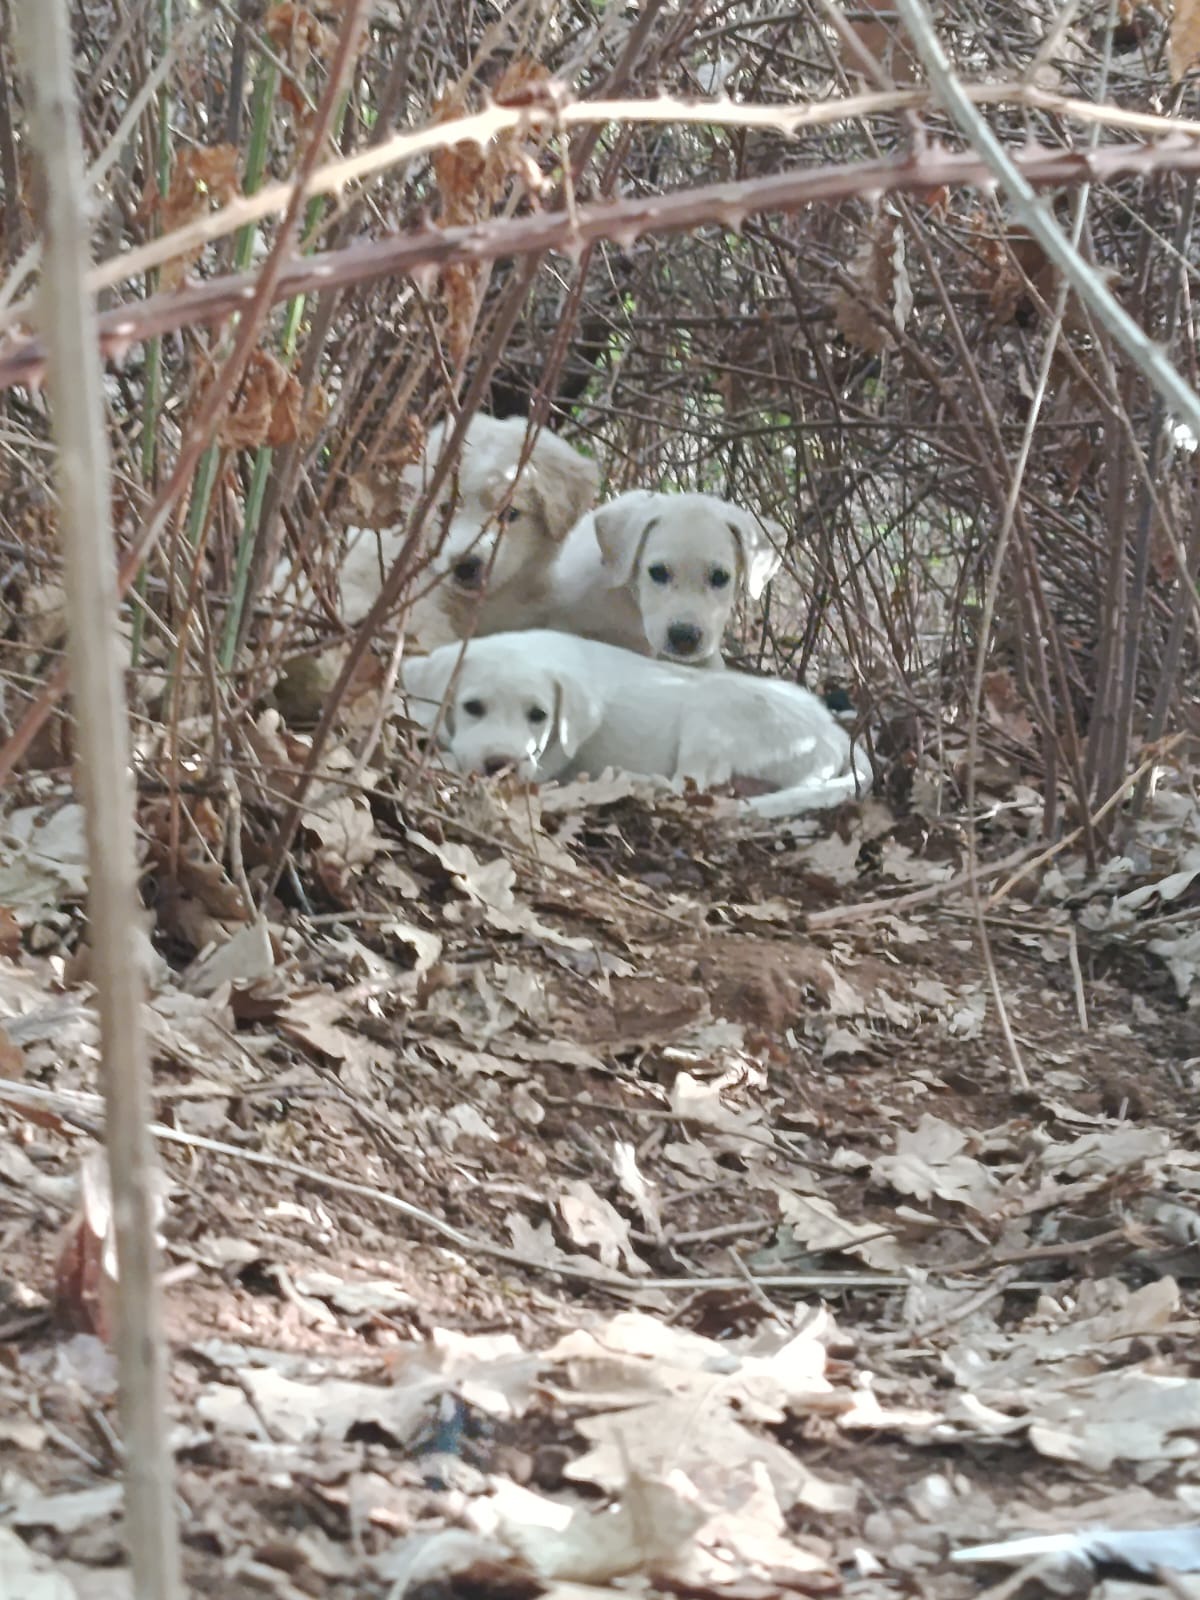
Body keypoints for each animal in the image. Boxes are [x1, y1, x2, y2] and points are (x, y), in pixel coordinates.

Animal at [402, 630, 869, 817]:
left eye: (539, 716)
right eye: (472, 707)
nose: (501, 765)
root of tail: (833, 732)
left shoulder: (549, 756)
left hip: (715, 711)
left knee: (691, 785)